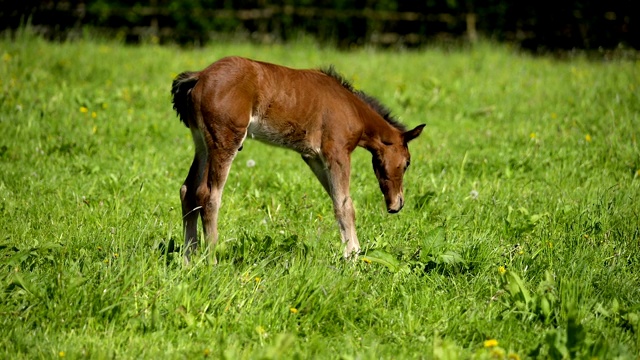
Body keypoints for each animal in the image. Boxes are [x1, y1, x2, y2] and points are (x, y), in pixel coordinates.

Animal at [171, 56, 424, 262]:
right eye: (407, 163)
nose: (397, 204)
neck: (352, 108)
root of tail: (200, 76)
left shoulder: (313, 157)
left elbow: (336, 200)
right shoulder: (337, 152)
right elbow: (345, 205)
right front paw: (353, 257)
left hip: (202, 143)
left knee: (188, 191)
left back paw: (188, 260)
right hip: (225, 141)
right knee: (209, 196)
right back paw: (212, 260)